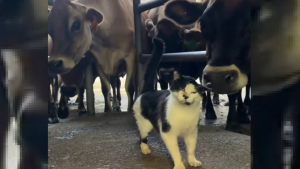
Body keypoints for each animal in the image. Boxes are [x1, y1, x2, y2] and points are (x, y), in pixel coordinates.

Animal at [134, 37, 209, 168]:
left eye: (193, 92)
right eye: (182, 88)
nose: (185, 96)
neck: (185, 112)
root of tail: (148, 91)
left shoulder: (192, 133)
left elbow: (191, 148)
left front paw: (192, 161)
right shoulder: (168, 133)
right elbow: (176, 152)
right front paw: (179, 165)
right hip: (145, 123)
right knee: (142, 135)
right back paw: (144, 148)